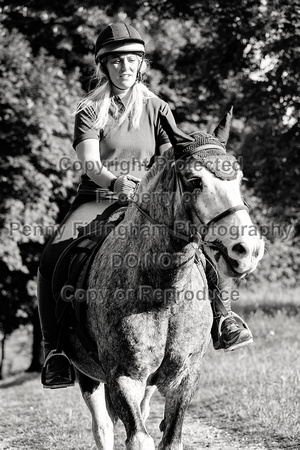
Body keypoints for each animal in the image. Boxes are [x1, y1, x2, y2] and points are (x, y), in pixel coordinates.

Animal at [64, 110, 264, 450]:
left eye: (238, 179)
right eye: (195, 181)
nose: (247, 250)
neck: (163, 292)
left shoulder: (184, 377)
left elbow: (170, 438)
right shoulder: (123, 378)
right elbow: (137, 437)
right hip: (88, 374)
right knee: (102, 427)